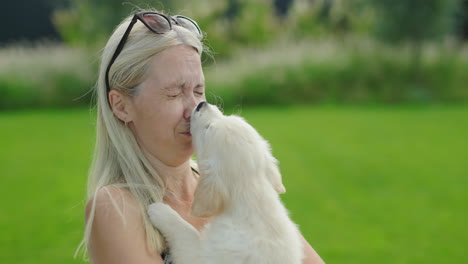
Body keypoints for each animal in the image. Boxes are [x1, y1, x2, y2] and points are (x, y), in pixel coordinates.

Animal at [149, 102, 304, 264]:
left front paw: (160, 210)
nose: (201, 104)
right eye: (227, 116)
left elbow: (186, 232)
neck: (252, 194)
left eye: (208, 128)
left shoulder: (202, 256)